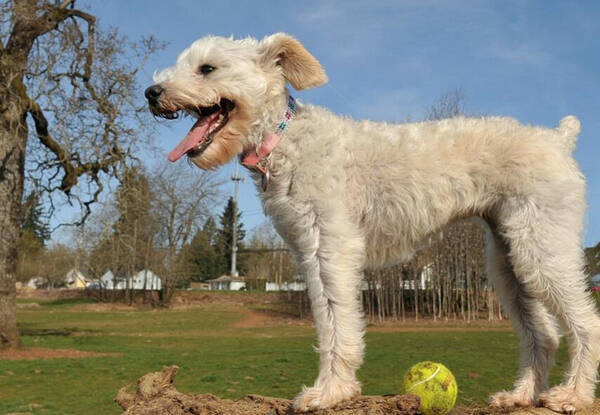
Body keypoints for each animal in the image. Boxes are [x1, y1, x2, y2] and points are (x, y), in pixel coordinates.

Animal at [146, 34, 600, 414]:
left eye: (207, 68)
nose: (152, 93)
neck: (288, 138)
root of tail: (558, 139)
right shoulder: (309, 252)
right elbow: (328, 321)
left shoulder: (331, 247)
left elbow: (336, 323)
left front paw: (330, 392)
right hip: (510, 261)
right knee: (543, 334)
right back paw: (520, 395)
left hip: (543, 248)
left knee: (586, 324)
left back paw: (573, 396)